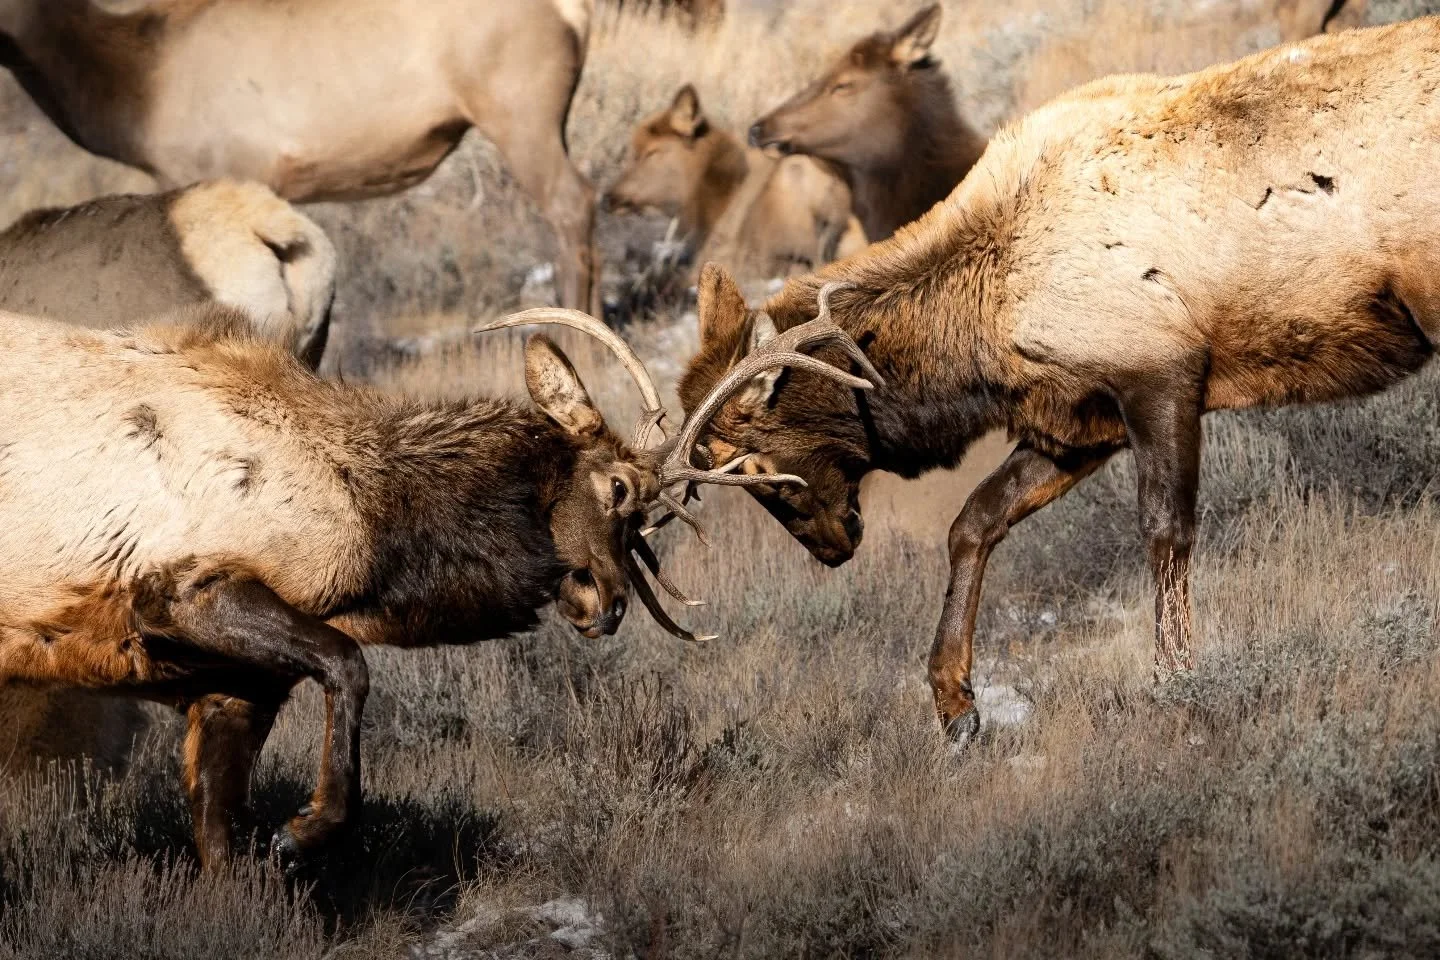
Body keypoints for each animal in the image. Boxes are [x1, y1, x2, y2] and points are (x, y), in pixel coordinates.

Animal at [0, 297, 872, 868]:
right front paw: (305, 827)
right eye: (619, 488)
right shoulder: (182, 586)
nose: (610, 604)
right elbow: (349, 668)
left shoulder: (233, 684)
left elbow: (220, 843)